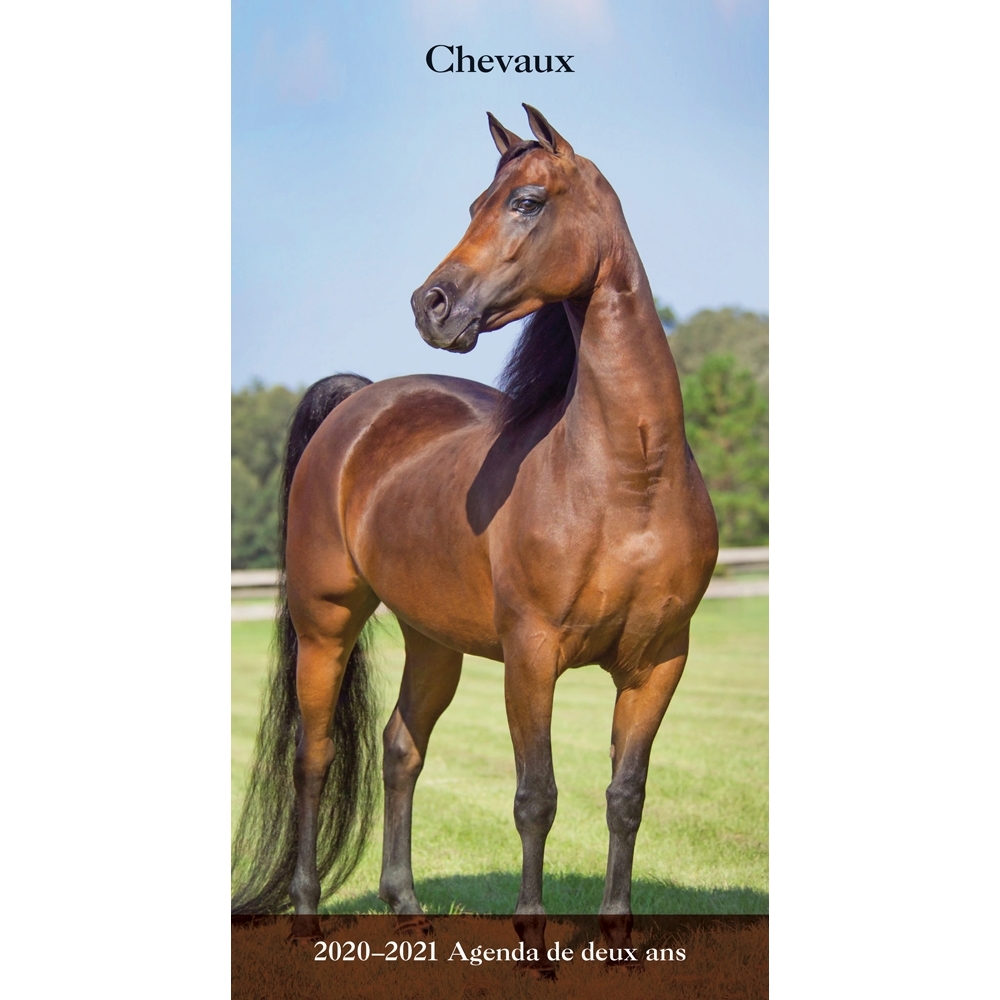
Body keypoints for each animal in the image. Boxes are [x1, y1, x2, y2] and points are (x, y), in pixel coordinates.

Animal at [231, 105, 719, 965]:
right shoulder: (531, 655)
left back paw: (408, 910)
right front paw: (532, 938)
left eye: (525, 202)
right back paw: (309, 916)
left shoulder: (660, 661)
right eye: (472, 206)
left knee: (400, 748)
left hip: (434, 641)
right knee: (314, 757)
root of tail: (360, 404)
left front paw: (618, 935)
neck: (629, 478)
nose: (431, 303)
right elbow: (536, 796)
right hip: (326, 626)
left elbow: (625, 796)